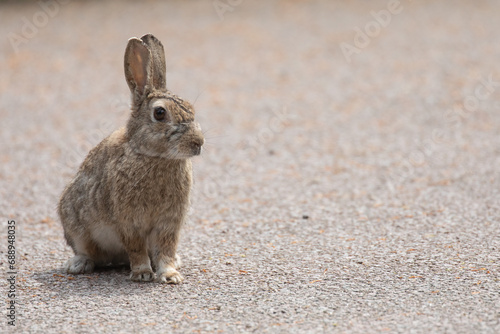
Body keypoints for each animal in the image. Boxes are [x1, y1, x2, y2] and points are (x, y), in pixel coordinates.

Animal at [55, 34, 202, 284]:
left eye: (191, 109)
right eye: (160, 113)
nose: (198, 143)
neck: (153, 156)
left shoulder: (168, 224)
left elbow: (166, 249)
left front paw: (170, 275)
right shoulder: (129, 222)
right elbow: (136, 248)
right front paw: (142, 273)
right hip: (75, 224)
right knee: (90, 252)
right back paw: (78, 265)